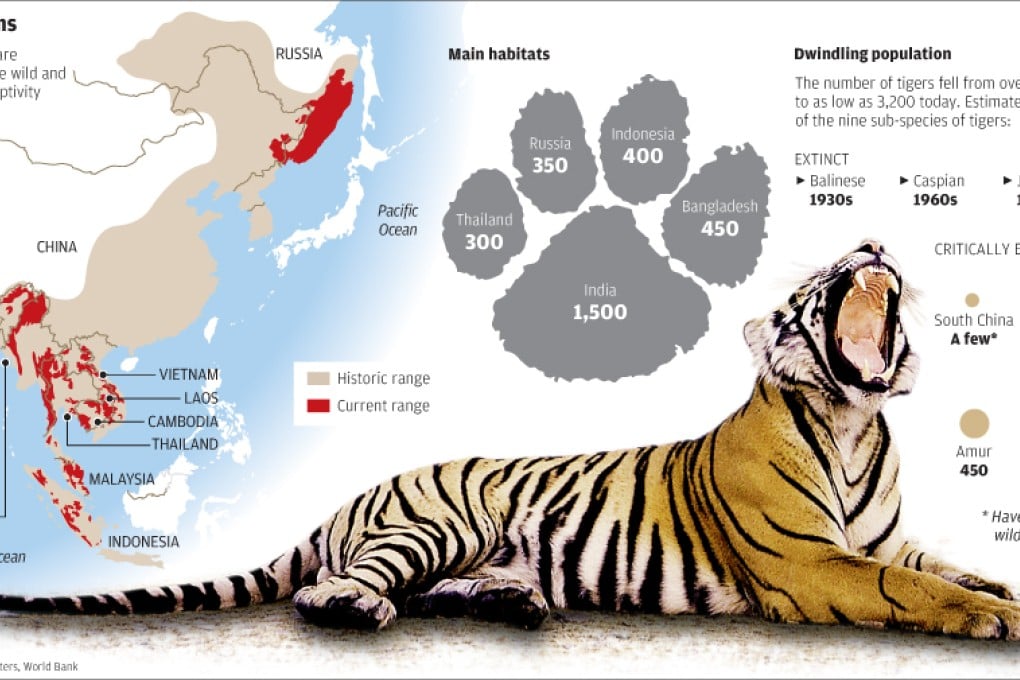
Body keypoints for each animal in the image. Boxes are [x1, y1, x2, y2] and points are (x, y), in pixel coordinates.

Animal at [2, 239, 1018, 639]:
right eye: (819, 279)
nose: (870, 245)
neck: (853, 420)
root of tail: (346, 497)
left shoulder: (888, 539)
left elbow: (953, 567)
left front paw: (998, 593)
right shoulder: (810, 563)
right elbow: (909, 587)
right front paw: (993, 621)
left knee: (430, 593)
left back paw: (516, 605)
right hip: (435, 525)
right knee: (336, 591)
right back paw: (363, 611)